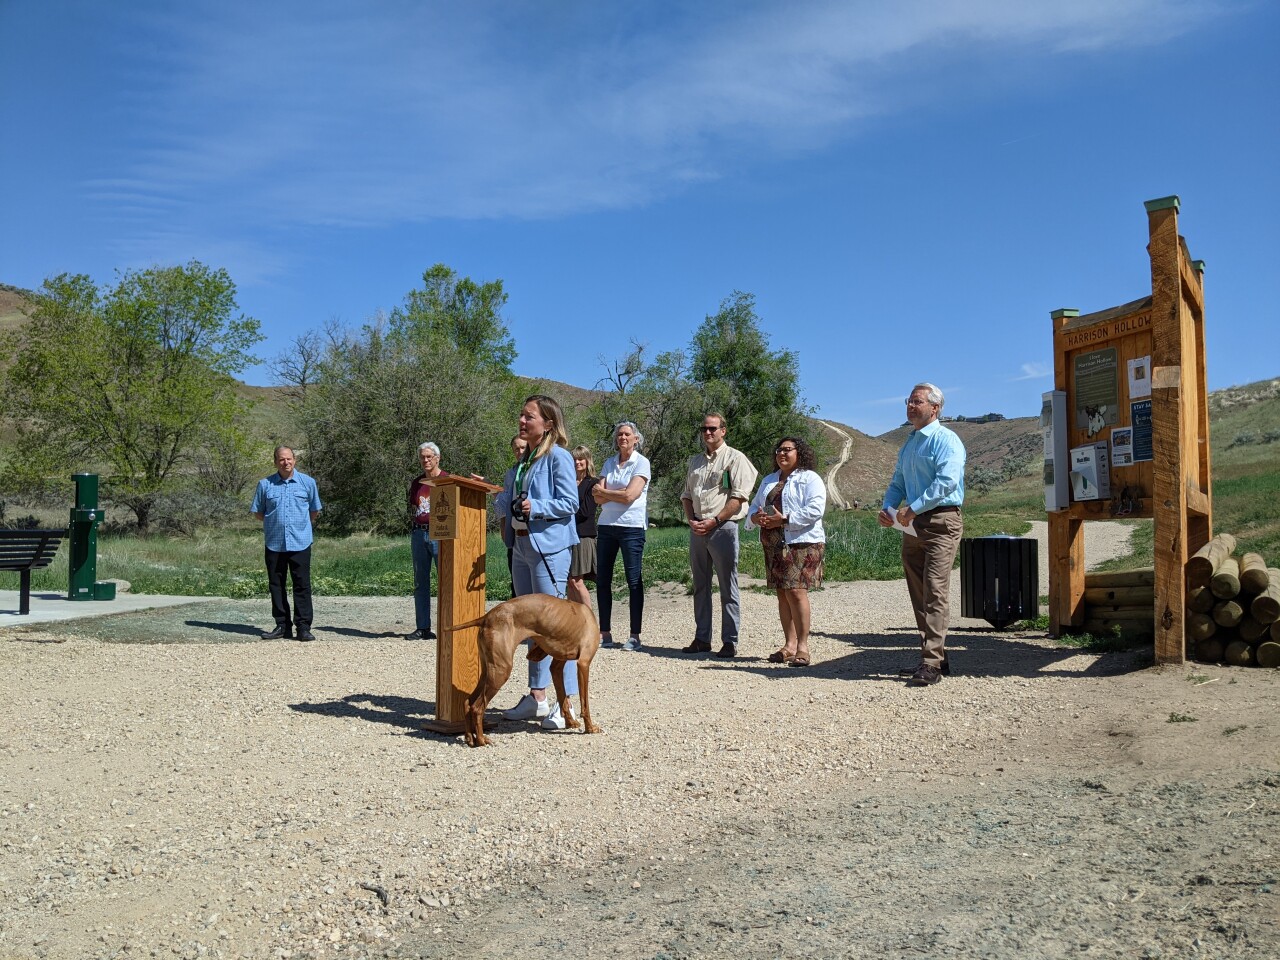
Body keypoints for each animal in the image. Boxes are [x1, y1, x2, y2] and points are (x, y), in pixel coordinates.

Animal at [445, 599, 604, 747]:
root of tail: (486, 617)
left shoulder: (557, 667)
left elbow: (563, 697)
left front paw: (570, 722)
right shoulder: (583, 664)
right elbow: (585, 704)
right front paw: (590, 728)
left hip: (489, 671)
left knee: (468, 702)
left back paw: (469, 738)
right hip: (501, 671)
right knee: (477, 708)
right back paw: (481, 740)